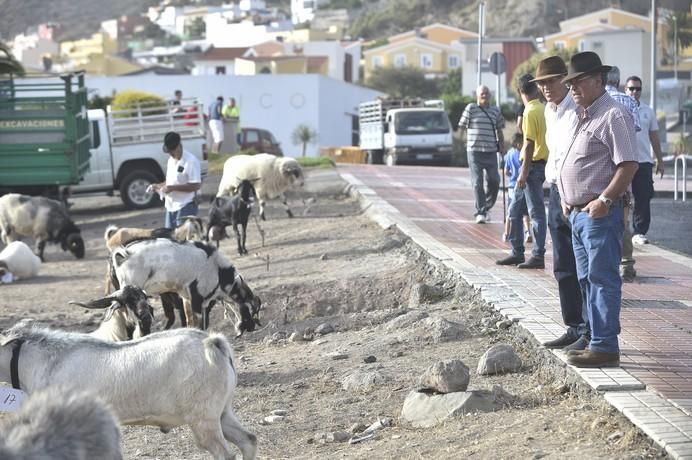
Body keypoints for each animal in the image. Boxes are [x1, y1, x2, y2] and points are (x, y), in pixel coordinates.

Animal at [111, 237, 262, 334]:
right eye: (252, 308)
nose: (252, 327)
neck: (217, 269)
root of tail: (125, 254)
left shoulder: (187, 299)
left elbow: (190, 322)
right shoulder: (197, 301)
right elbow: (201, 325)